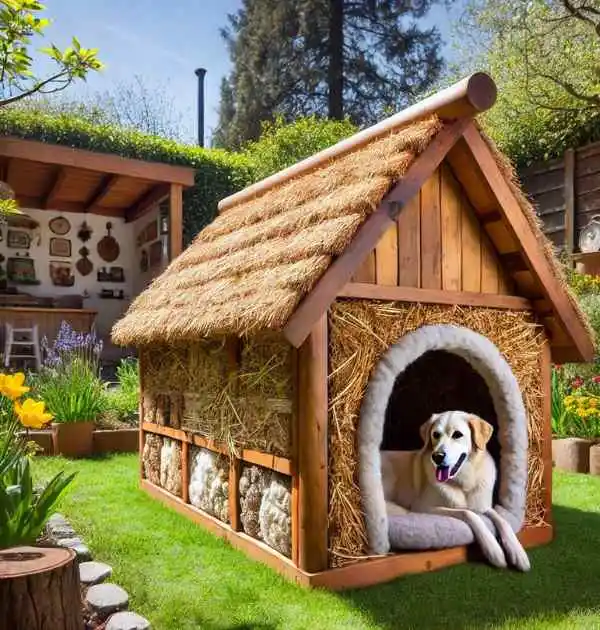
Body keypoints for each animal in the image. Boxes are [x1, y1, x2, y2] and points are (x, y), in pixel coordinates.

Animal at [384, 412, 528, 576]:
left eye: (457, 435)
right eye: (436, 434)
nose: (437, 456)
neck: (464, 482)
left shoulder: (483, 506)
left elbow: (502, 520)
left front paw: (518, 553)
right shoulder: (424, 507)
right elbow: (469, 513)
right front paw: (493, 549)